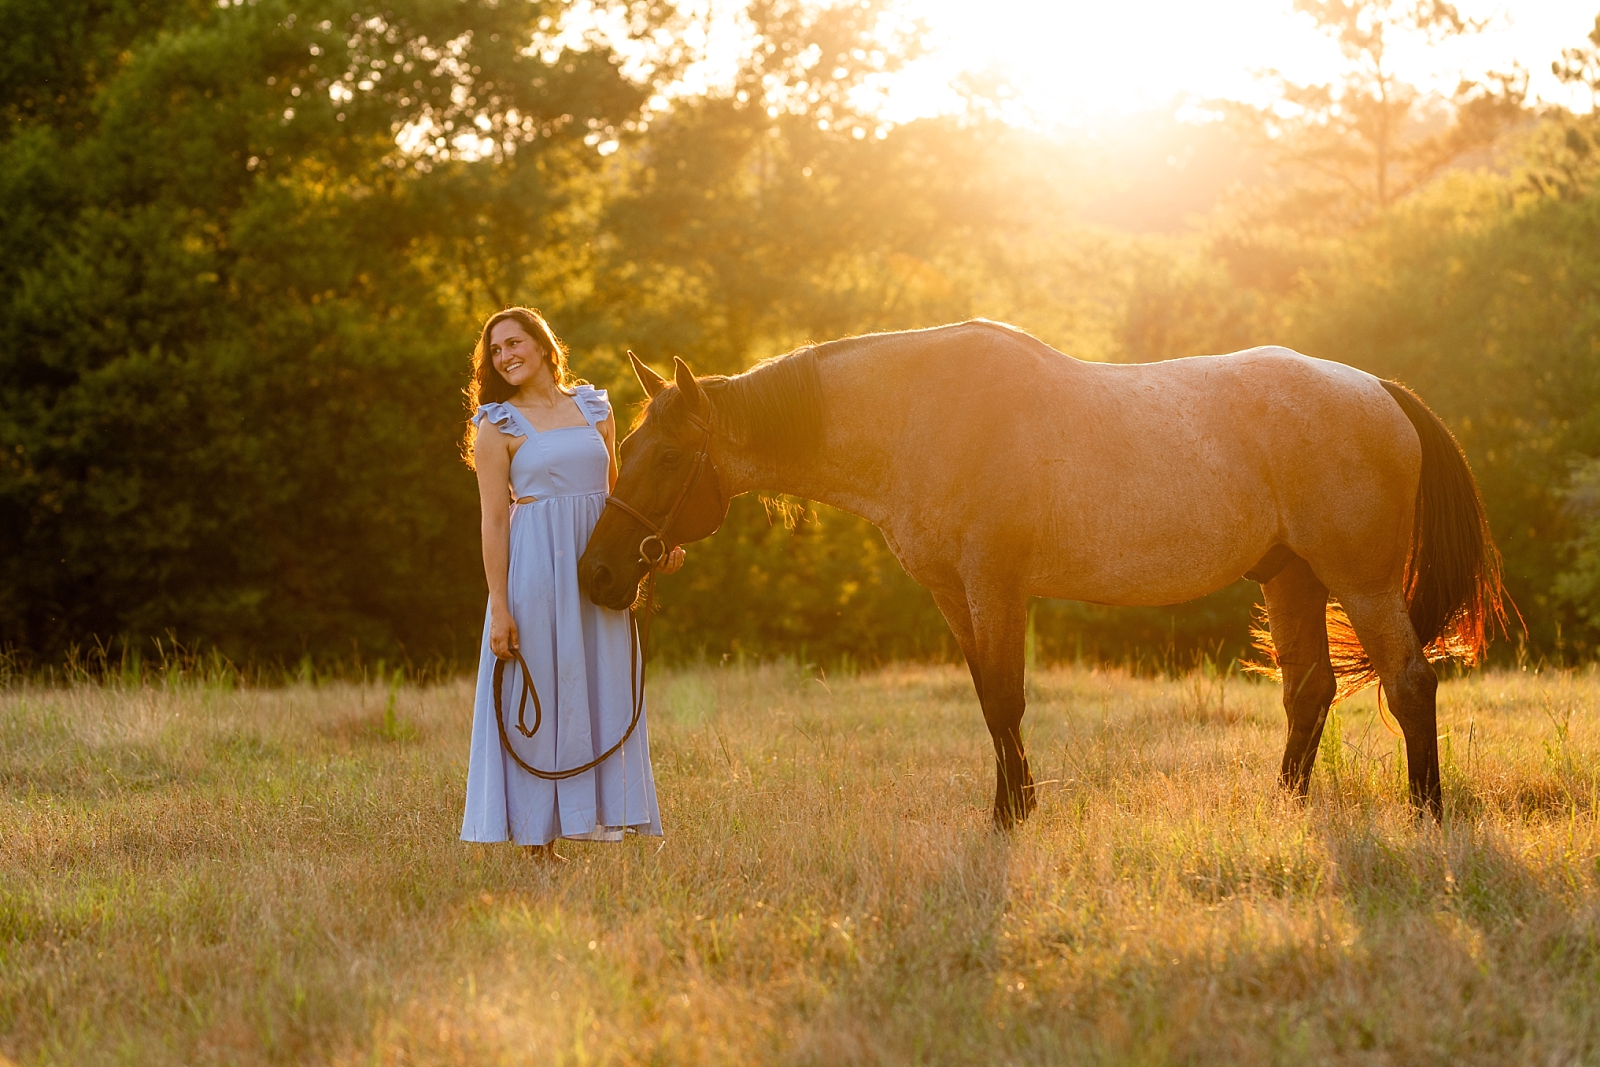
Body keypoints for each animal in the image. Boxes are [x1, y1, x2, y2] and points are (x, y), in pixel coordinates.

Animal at [579, 321, 1510, 831]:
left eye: (666, 457)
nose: (597, 573)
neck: (919, 414)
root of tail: (1378, 388)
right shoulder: (954, 593)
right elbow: (989, 697)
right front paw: (1011, 804)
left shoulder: (996, 585)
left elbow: (1005, 697)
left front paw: (1013, 816)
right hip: (1292, 579)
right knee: (1310, 689)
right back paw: (1285, 806)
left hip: (1360, 581)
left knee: (1409, 681)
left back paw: (1427, 815)